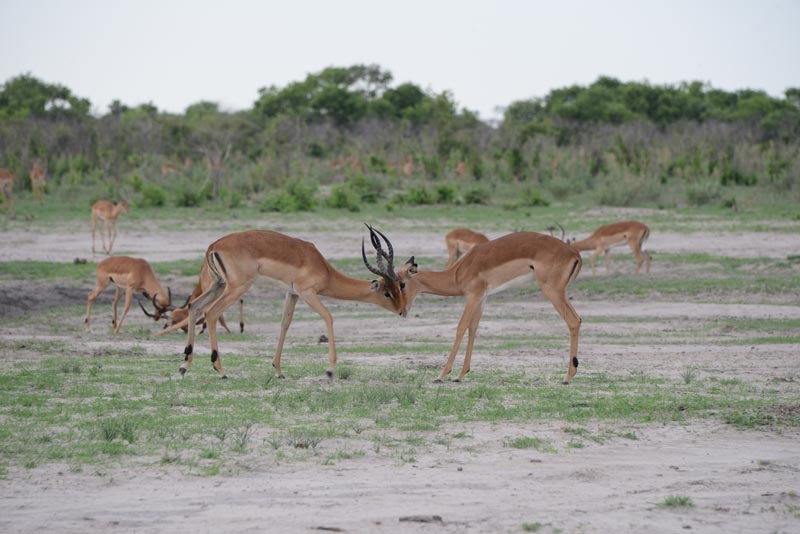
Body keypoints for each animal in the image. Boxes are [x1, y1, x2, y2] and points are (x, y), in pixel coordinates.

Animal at [160, 226, 412, 379]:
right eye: (387, 293)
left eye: (400, 286)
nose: (402, 311)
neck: (324, 269)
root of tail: (213, 246)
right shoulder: (307, 292)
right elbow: (328, 317)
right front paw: (330, 370)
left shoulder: (292, 294)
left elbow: (285, 325)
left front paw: (278, 370)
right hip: (237, 287)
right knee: (211, 313)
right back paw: (220, 370)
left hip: (218, 285)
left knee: (194, 306)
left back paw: (184, 365)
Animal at [399, 232, 583, 384]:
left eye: (401, 284)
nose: (402, 311)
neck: (457, 273)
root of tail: (574, 253)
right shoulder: (482, 298)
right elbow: (473, 328)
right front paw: (460, 375)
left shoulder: (472, 296)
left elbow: (461, 327)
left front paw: (441, 375)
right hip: (560, 292)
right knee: (578, 320)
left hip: (553, 291)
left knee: (573, 320)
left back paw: (567, 377)